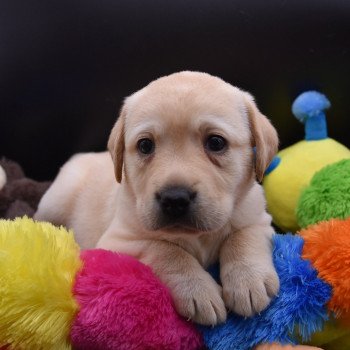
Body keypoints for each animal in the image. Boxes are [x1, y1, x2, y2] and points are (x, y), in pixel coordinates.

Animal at [35, 71, 280, 326]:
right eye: (145, 145)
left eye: (216, 142)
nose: (175, 199)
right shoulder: (120, 241)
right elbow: (166, 251)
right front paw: (198, 290)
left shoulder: (259, 219)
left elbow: (242, 237)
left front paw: (249, 280)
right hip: (56, 201)